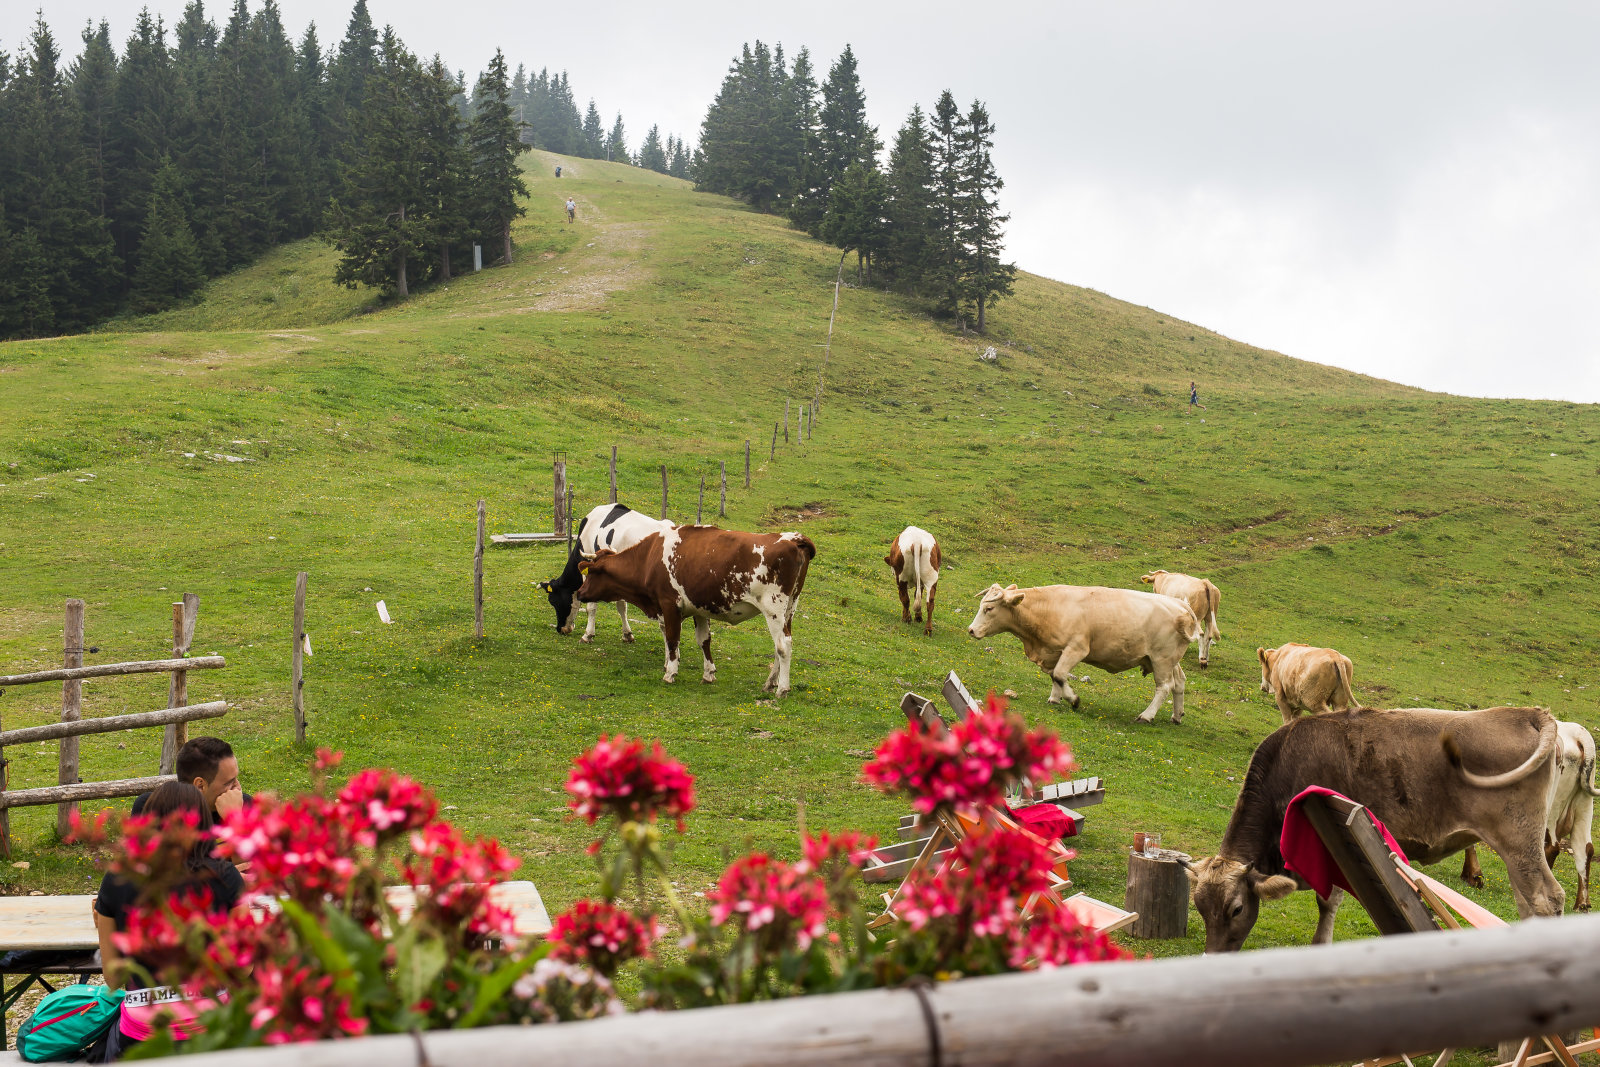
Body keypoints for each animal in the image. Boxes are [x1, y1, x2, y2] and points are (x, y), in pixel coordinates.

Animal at [540, 502, 672, 643]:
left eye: (553, 601)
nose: (560, 629)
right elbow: (622, 606)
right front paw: (627, 634)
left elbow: (591, 606)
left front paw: (588, 635)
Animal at [576, 527, 819, 697]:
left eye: (592, 572)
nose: (579, 592)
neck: (650, 558)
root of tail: (793, 538)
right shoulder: (699, 609)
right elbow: (704, 640)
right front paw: (708, 674)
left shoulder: (669, 604)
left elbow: (672, 639)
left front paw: (670, 672)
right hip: (789, 609)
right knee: (781, 644)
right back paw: (770, 683)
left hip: (773, 607)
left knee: (783, 645)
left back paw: (782, 689)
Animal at [960, 585, 1203, 726]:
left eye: (989, 609)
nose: (971, 630)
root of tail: (1180, 604)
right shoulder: (1055, 650)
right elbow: (1055, 675)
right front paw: (1055, 698)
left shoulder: (1076, 648)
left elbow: (1060, 674)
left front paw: (1073, 700)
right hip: (1169, 660)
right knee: (1179, 683)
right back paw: (1176, 715)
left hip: (1162, 659)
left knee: (1164, 687)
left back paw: (1147, 715)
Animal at [1190, 710, 1561, 953]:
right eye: (1200, 908)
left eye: (1237, 909)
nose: (1211, 956)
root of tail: (1525, 713)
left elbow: (1327, 901)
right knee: (1528, 901)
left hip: (1519, 842)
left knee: (1546, 899)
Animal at [1465, 716, 1600, 908]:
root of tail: (1578, 733)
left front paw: (1473, 875)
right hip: (1584, 805)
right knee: (1585, 849)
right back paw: (1582, 904)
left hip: (1551, 806)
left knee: (1552, 847)